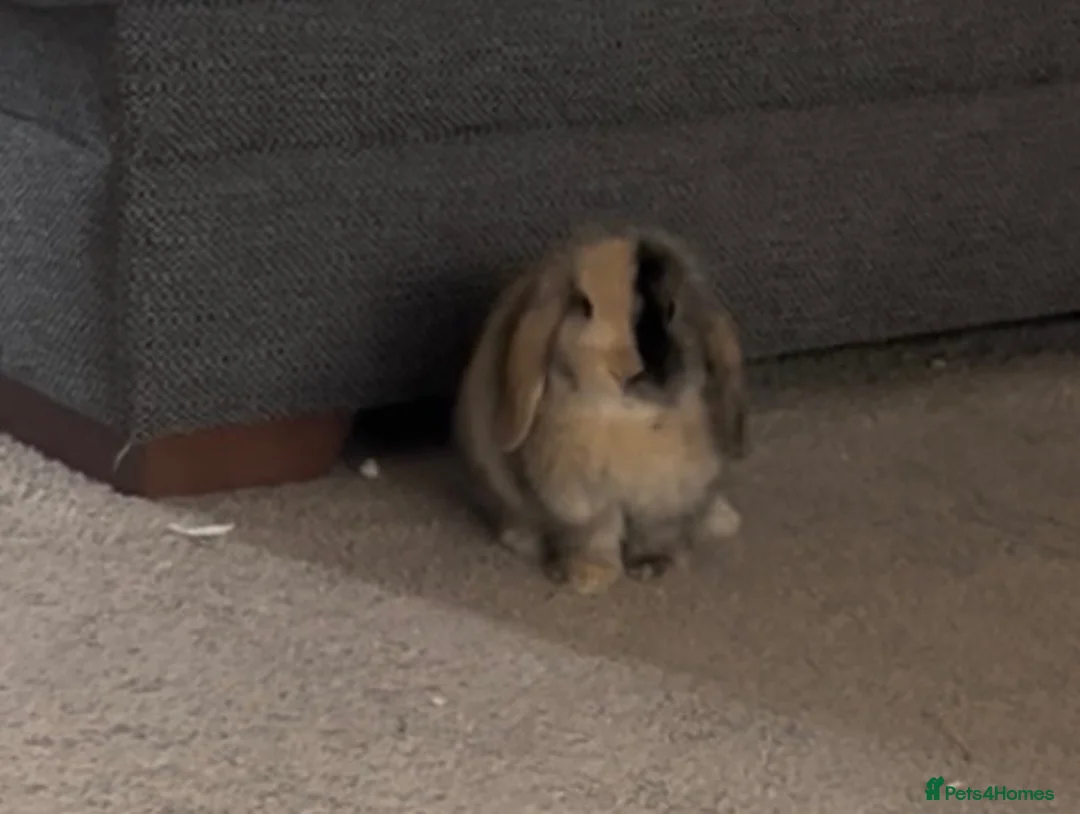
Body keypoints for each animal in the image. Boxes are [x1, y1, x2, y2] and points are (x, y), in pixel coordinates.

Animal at [453, 226, 748, 595]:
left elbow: (655, 533)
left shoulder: (665, 498)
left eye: (671, 309)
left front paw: (651, 567)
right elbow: (594, 535)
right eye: (584, 306)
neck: (629, 419)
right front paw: (587, 578)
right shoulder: (580, 502)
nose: (627, 370)